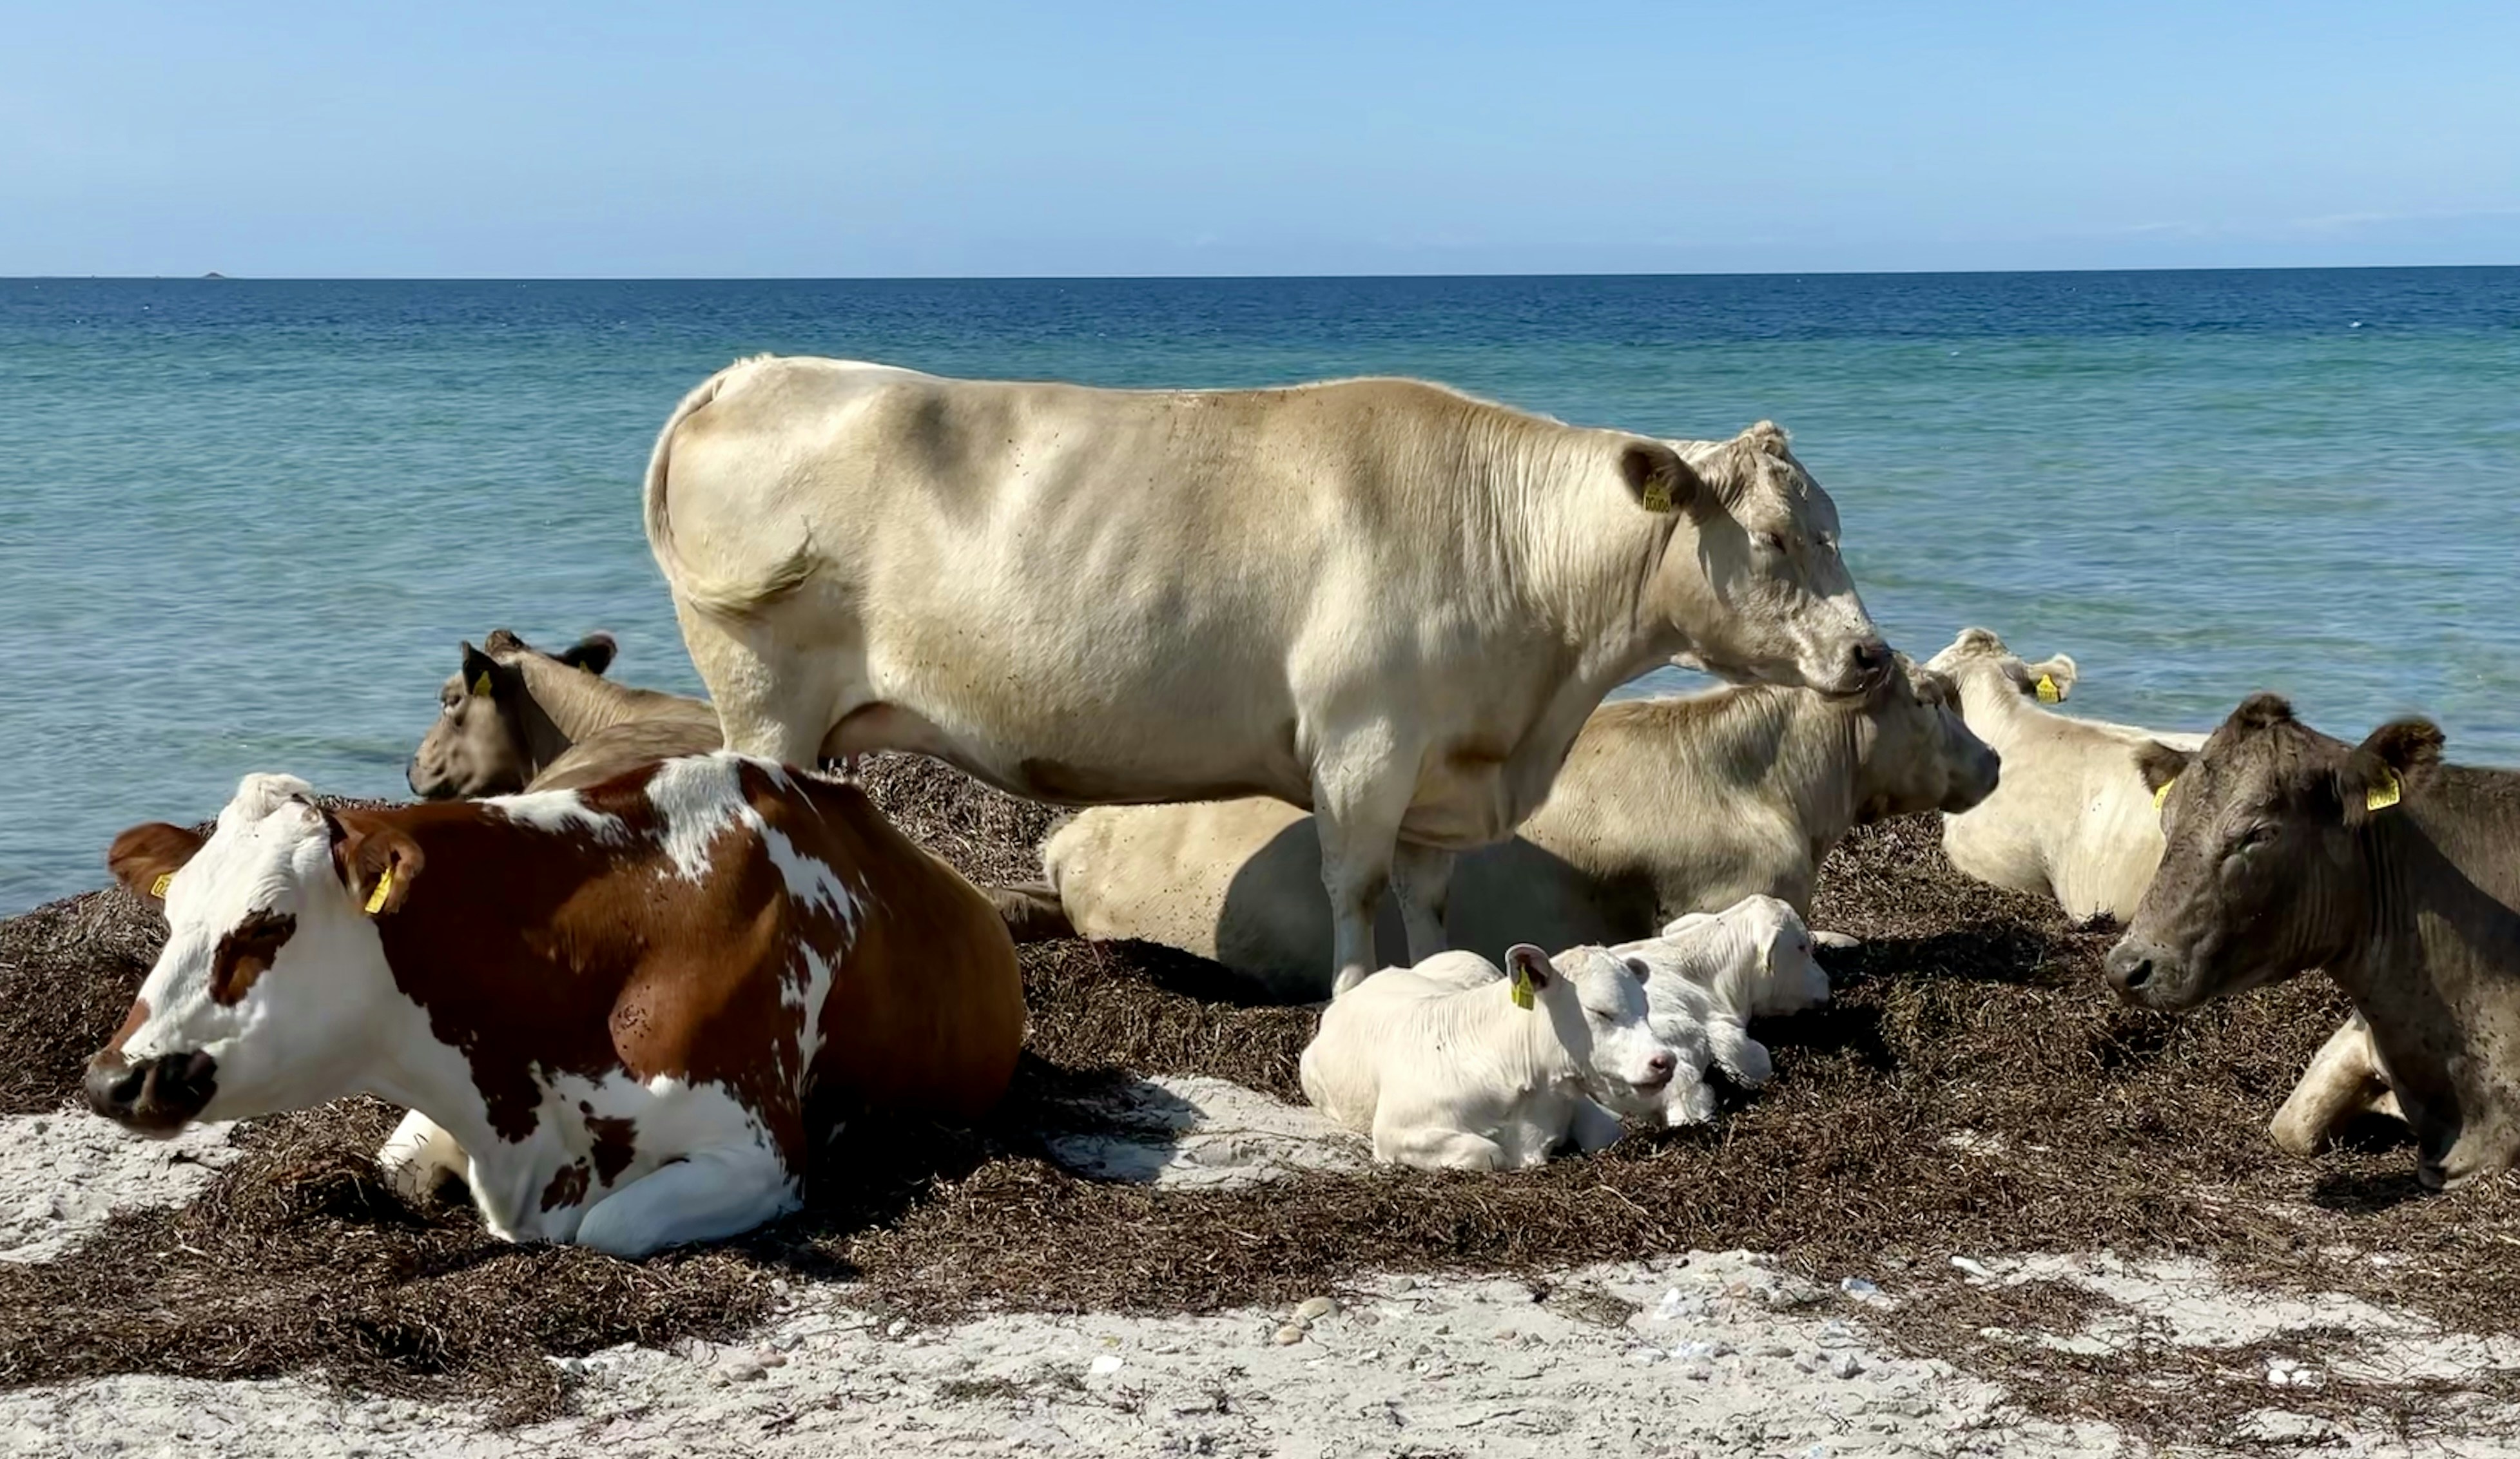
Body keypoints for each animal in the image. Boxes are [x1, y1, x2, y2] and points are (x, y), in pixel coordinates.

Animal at [85, 753, 1026, 1256]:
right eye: (171, 913)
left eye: (267, 924)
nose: (111, 1080)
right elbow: (392, 1165)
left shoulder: (759, 1152)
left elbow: (608, 1226)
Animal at [643, 357, 1889, 996]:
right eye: (1773, 537)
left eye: (1834, 524)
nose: (1870, 653)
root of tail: (755, 371)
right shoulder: (1363, 741)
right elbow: (1355, 886)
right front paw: (1351, 998)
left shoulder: (1439, 766)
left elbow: (1430, 898)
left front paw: (1443, 980)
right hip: (761, 695)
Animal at [1297, 944, 1680, 1171]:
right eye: (1601, 1011)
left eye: (1645, 1007)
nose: (1664, 1060)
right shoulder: (1397, 1131)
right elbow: (1489, 1153)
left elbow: (1605, 1132)